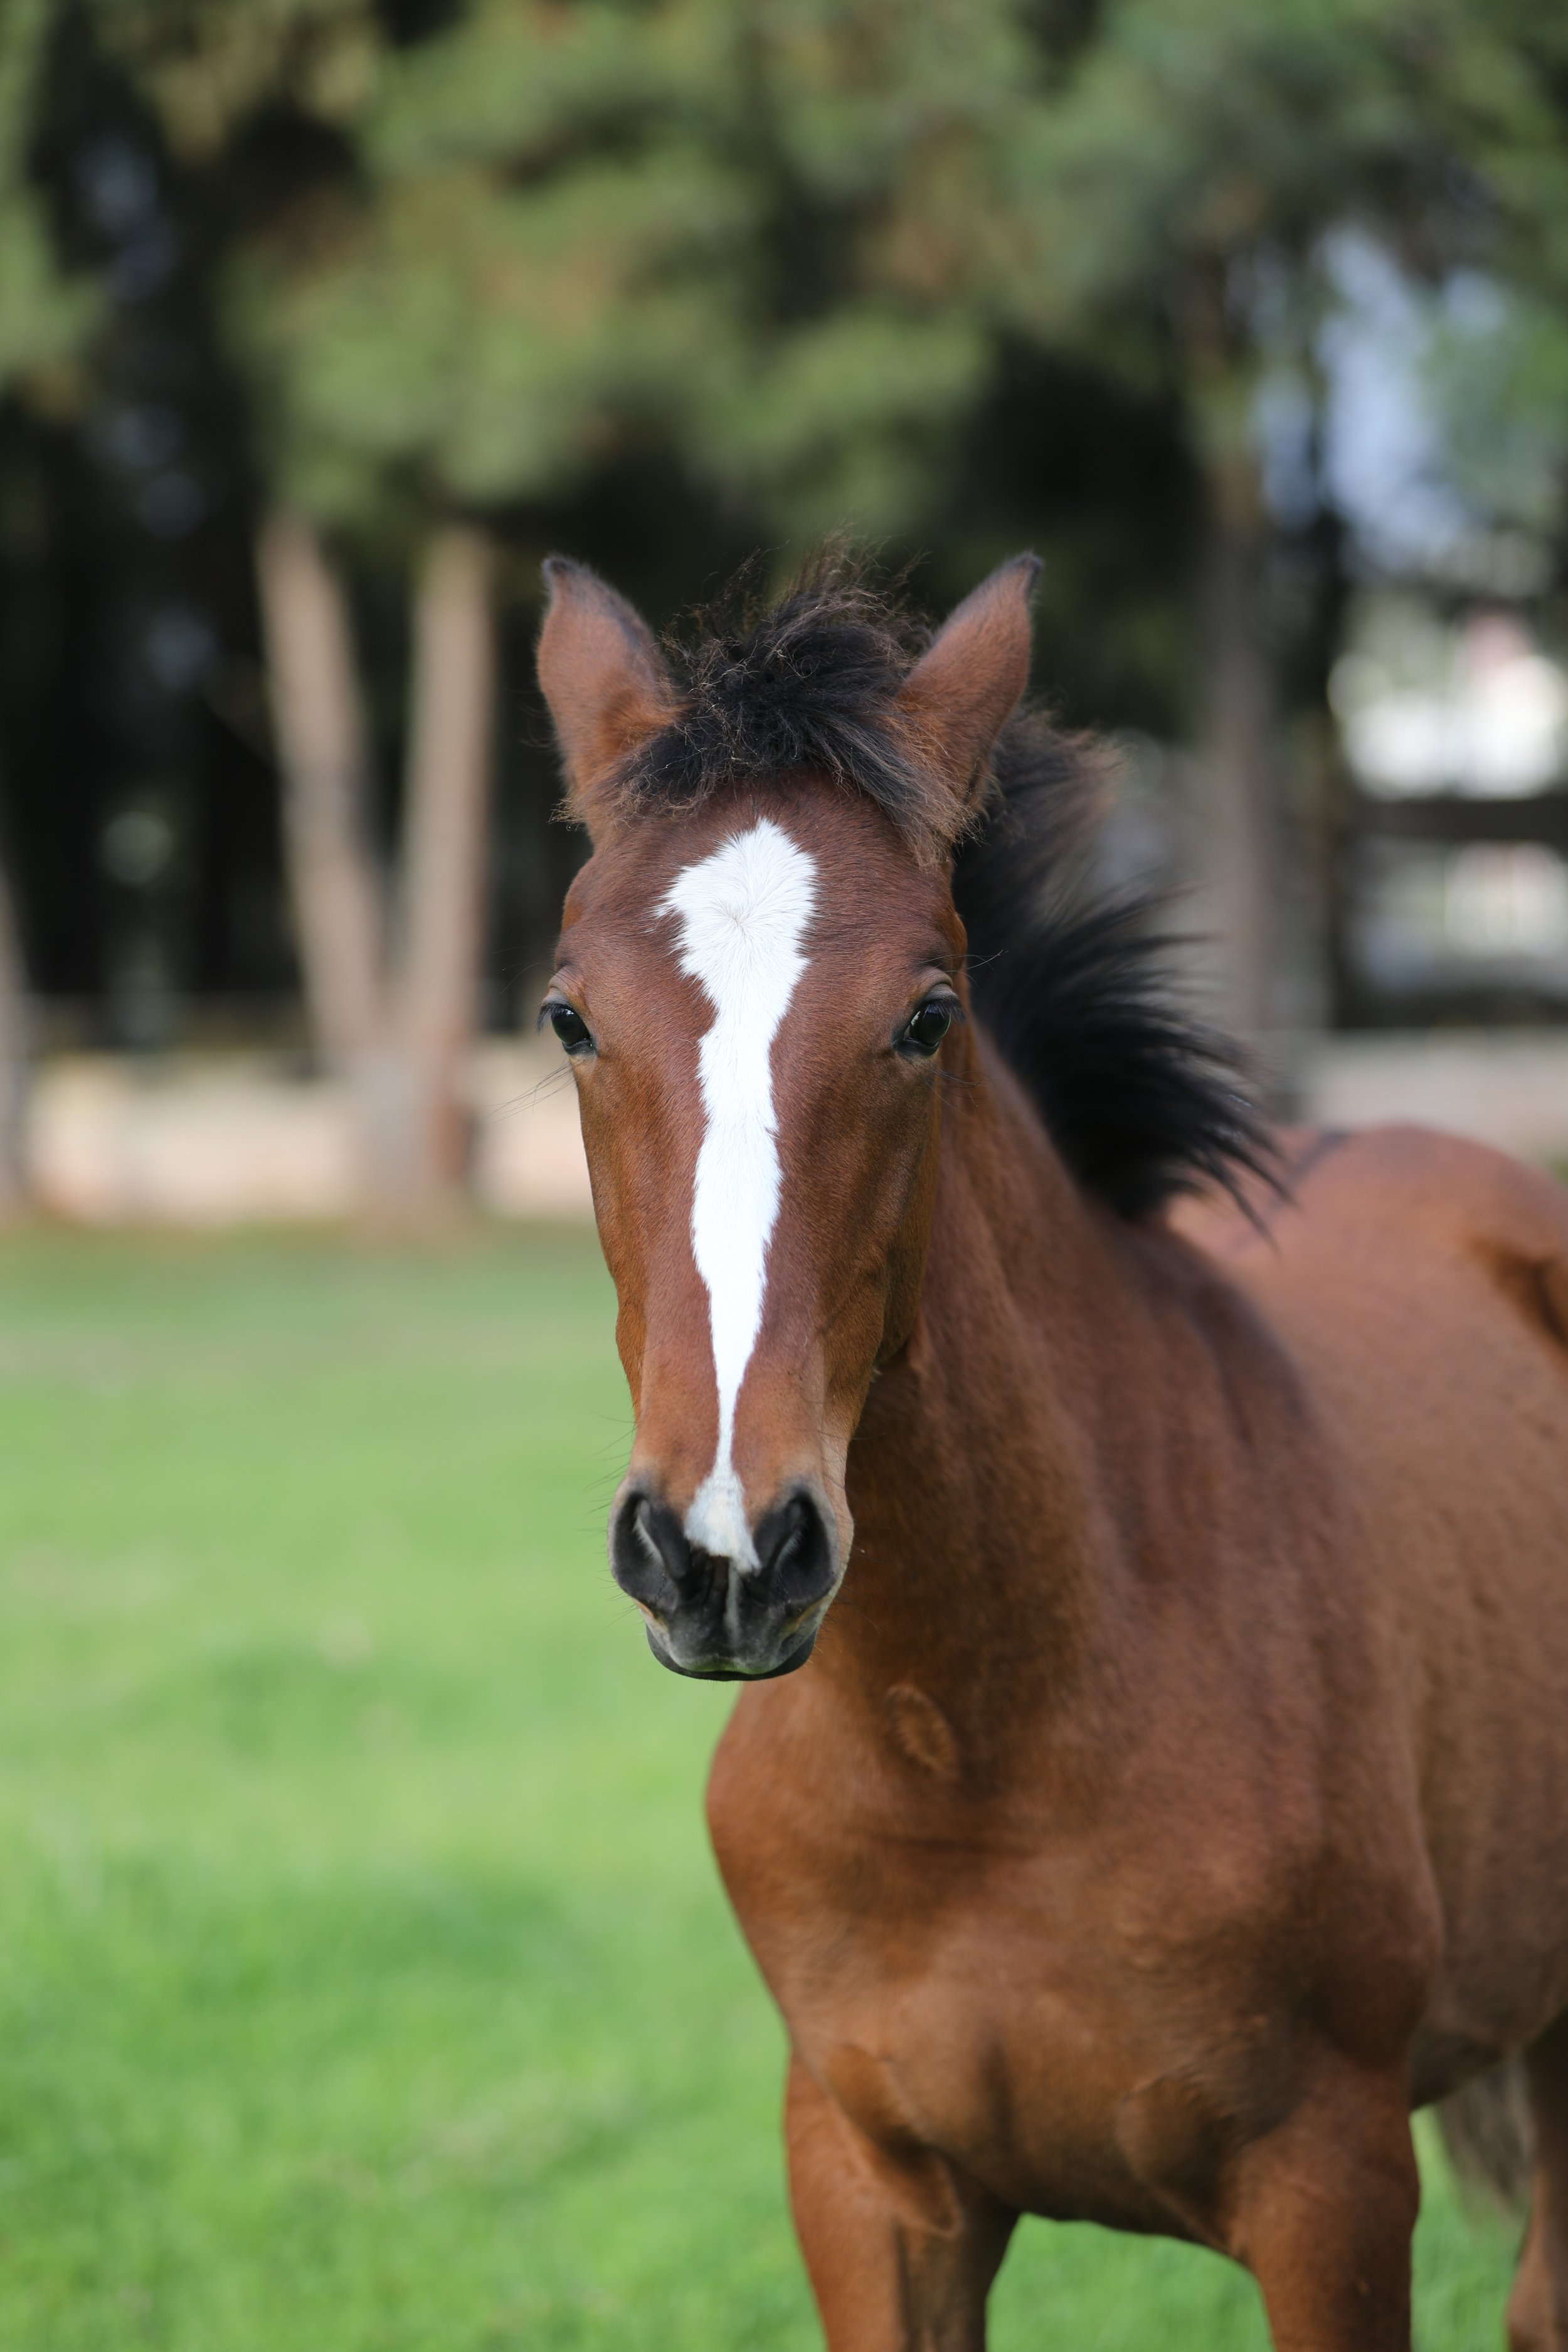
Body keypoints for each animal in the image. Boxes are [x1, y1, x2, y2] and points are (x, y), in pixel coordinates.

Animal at [534, 549, 1568, 2351]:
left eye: (927, 1015)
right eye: (568, 1016)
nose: (724, 1551)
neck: (982, 1742)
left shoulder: (1333, 2189)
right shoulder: (868, 2186)